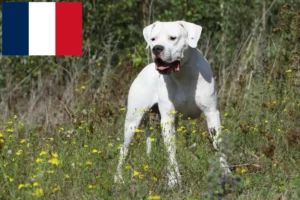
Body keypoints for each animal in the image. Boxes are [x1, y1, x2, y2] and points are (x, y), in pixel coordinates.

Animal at [115, 21, 232, 188]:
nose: (156, 48)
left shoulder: (212, 113)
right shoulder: (168, 119)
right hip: (133, 122)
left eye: (173, 38)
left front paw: (226, 175)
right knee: (124, 150)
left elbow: (218, 145)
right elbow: (170, 152)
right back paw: (118, 178)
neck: (183, 74)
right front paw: (173, 181)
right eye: (153, 39)